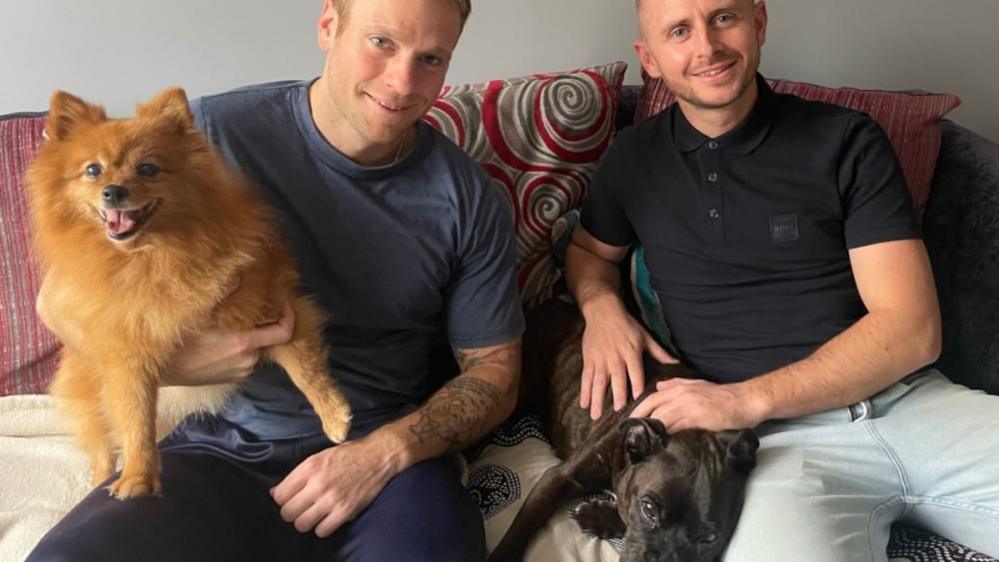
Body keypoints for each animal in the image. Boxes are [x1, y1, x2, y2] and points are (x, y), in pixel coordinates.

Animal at [25, 88, 354, 498]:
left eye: (148, 169)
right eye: (92, 170)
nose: (113, 191)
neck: (155, 257)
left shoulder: (274, 309)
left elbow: (304, 370)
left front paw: (333, 415)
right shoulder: (125, 356)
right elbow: (135, 420)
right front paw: (138, 475)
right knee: (101, 446)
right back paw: (101, 480)